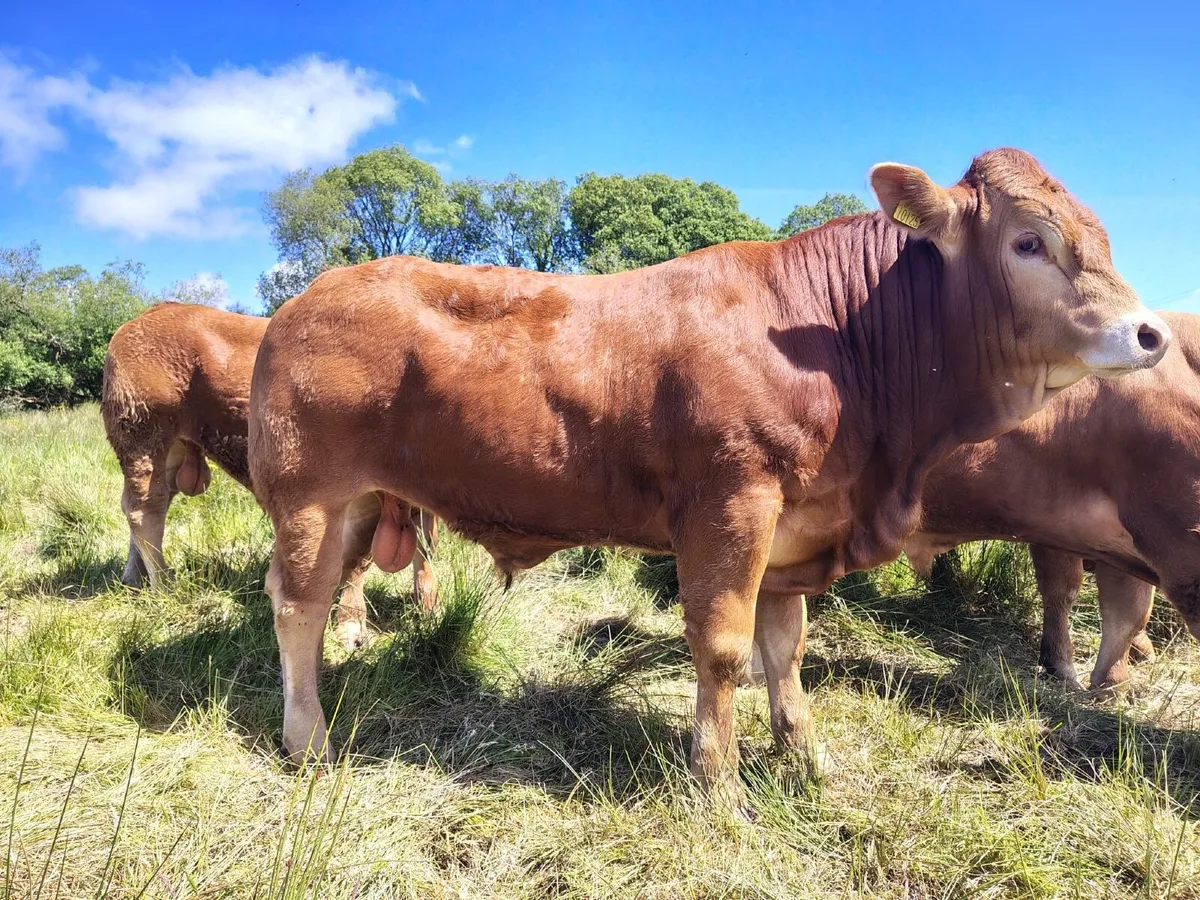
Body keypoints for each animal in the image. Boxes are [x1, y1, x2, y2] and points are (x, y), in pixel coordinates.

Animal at [100, 302, 439, 648]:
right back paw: (166, 587)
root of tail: (154, 311)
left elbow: (422, 543)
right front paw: (350, 625)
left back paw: (133, 578)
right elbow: (361, 559)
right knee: (144, 512)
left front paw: (427, 602)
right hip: (142, 434)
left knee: (143, 506)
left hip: (171, 451)